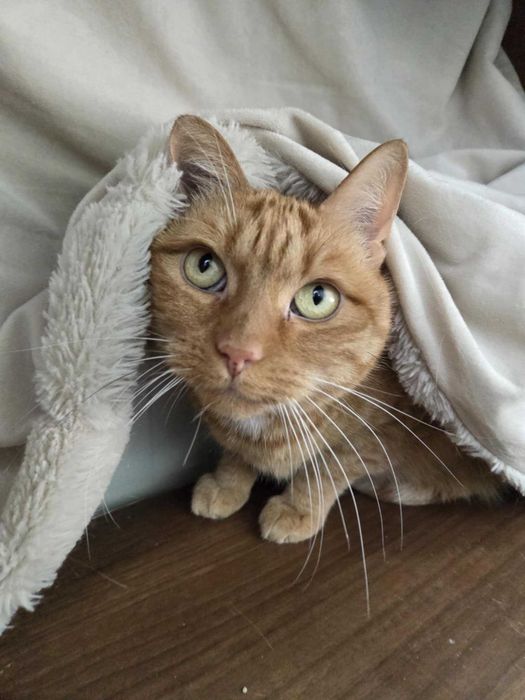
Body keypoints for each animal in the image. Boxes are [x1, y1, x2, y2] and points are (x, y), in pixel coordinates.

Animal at [149, 115, 503, 545]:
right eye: (204, 267)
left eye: (317, 298)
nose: (238, 353)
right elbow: (237, 454)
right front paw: (227, 482)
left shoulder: (377, 433)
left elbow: (329, 467)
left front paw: (298, 507)